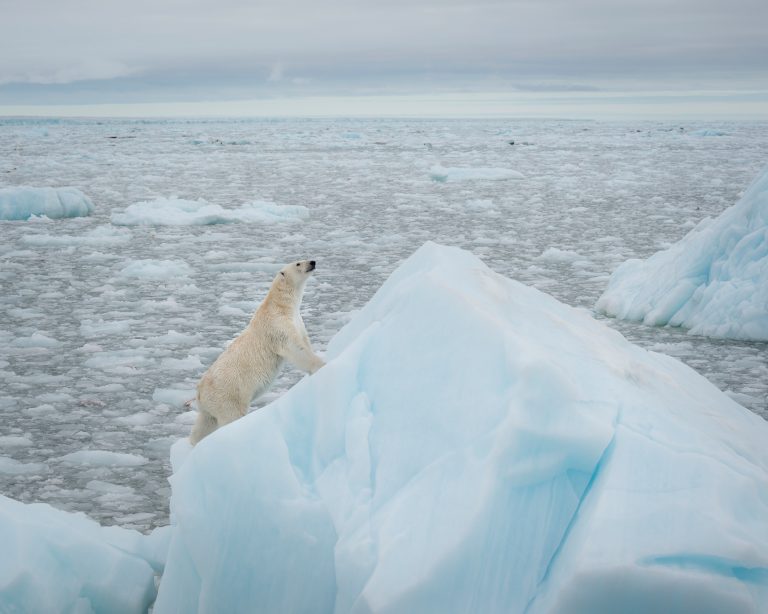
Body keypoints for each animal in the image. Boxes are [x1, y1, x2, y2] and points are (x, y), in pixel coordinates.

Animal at [192, 262, 328, 448]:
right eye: (298, 263)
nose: (312, 262)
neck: (279, 306)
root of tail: (199, 393)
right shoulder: (277, 325)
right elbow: (294, 347)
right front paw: (321, 364)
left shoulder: (296, 321)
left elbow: (303, 340)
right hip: (228, 396)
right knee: (230, 418)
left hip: (210, 405)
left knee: (204, 424)